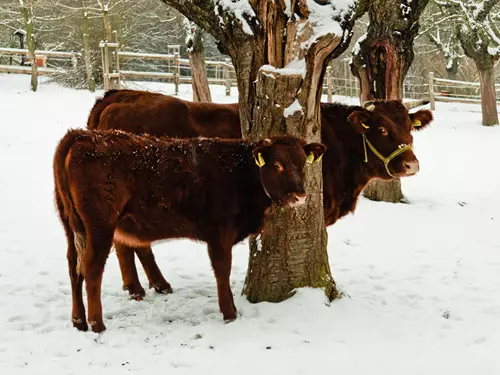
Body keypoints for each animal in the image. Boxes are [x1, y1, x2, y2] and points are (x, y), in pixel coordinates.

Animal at [53, 130, 324, 334]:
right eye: (277, 165)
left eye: (302, 165)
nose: (300, 196)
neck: (239, 172)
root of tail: (80, 135)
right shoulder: (220, 232)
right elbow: (222, 270)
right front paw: (229, 313)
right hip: (99, 227)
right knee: (91, 269)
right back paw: (97, 324)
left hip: (70, 227)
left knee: (74, 267)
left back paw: (79, 321)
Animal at [87, 89, 434, 302]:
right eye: (382, 129)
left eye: (410, 128)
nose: (411, 164)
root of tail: (122, 94)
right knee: (129, 244)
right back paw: (141, 287)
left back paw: (149, 285)